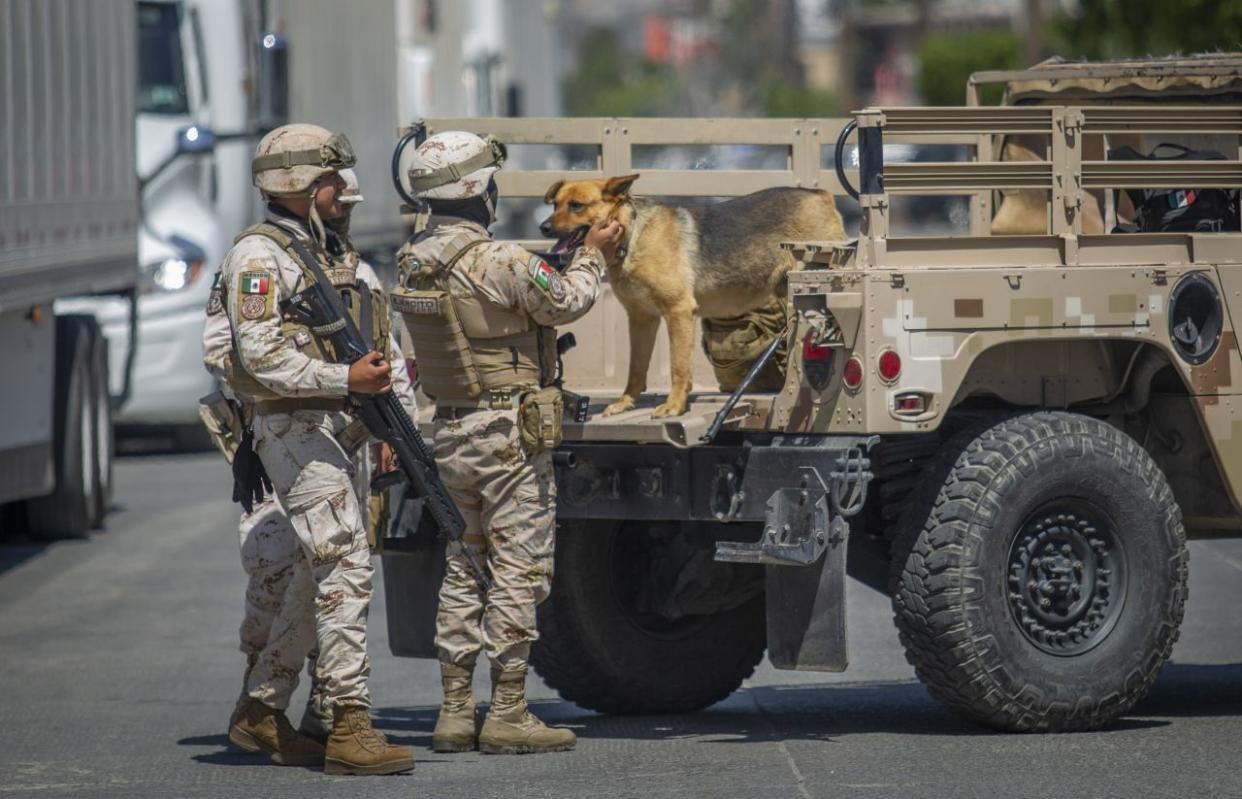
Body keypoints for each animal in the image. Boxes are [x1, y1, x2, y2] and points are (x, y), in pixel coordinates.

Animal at [541, 176, 844, 420]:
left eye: (576, 206)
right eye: (555, 205)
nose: (543, 226)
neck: (632, 236)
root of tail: (821, 195)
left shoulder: (679, 312)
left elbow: (678, 366)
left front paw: (674, 406)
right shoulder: (641, 319)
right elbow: (636, 368)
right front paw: (626, 403)